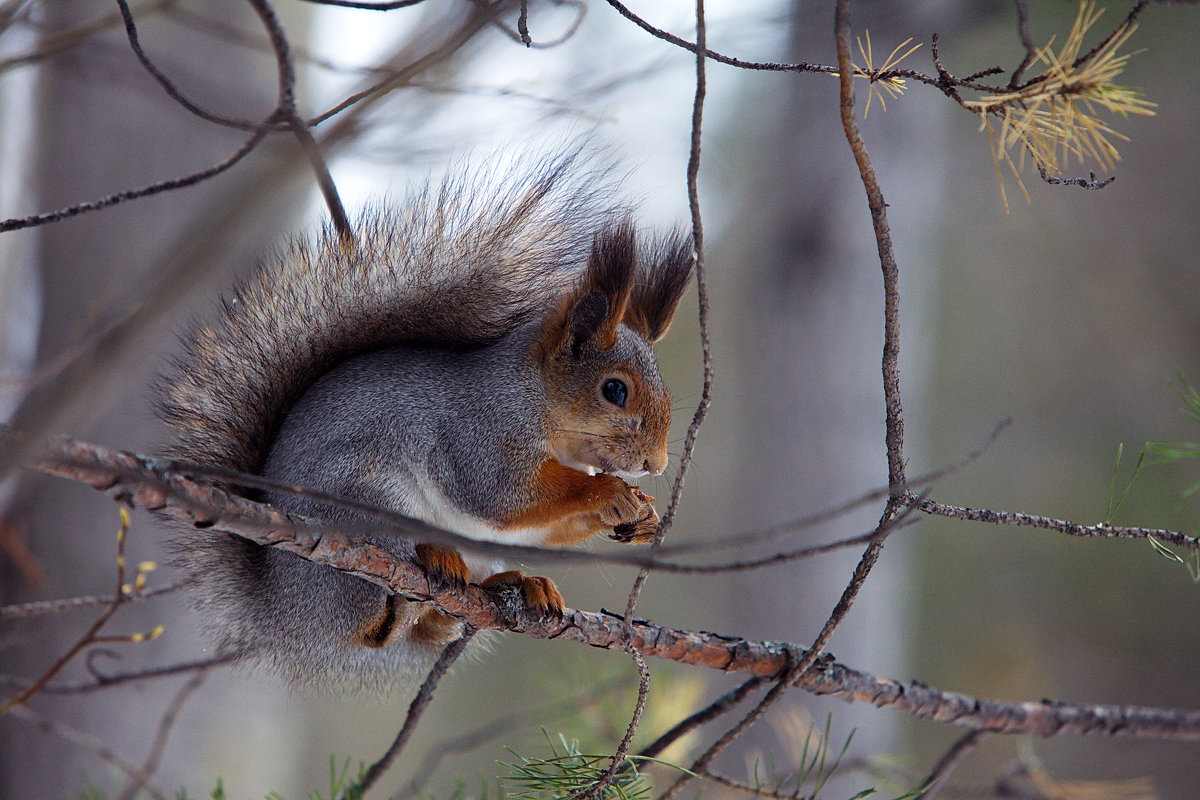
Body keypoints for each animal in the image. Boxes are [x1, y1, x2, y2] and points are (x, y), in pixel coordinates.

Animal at [157, 153, 696, 690]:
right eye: (615, 390)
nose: (655, 464)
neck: (536, 401)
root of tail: (282, 615)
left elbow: (538, 527)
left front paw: (643, 516)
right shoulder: (479, 434)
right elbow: (503, 497)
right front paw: (608, 491)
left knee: (428, 625)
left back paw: (518, 584)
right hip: (365, 500)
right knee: (373, 615)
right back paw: (426, 566)